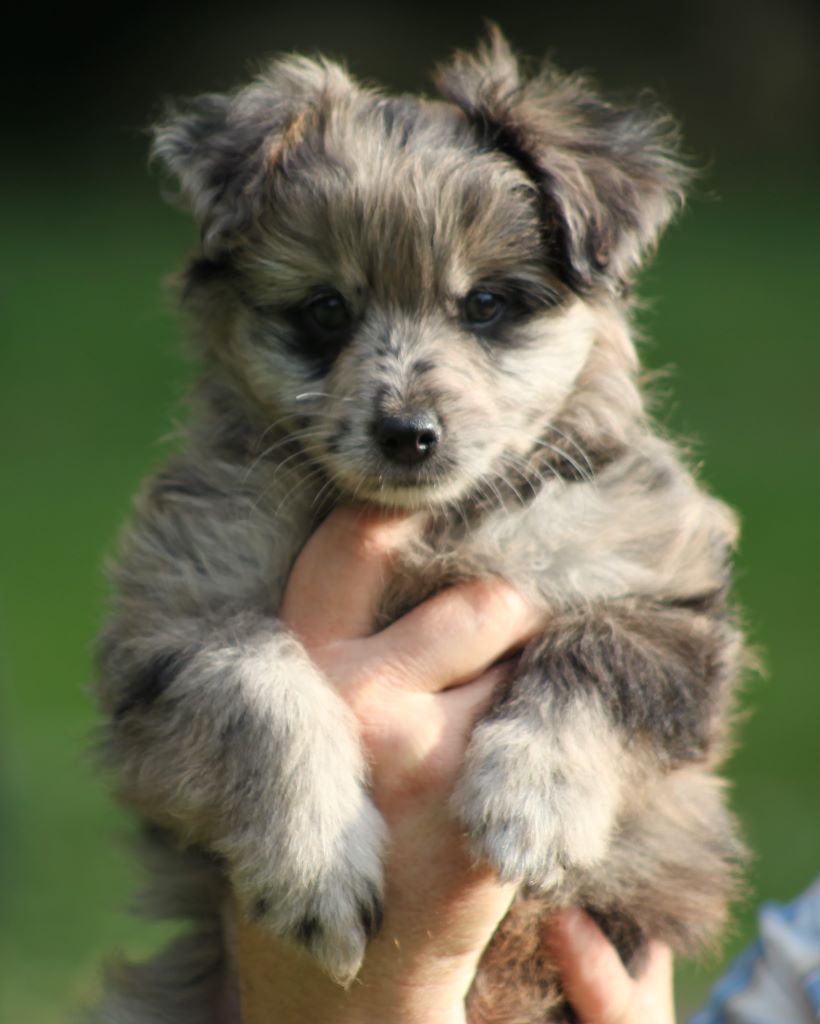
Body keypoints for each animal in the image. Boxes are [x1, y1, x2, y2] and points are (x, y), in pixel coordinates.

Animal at [90, 28, 746, 1022]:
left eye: (487, 305)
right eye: (326, 310)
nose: (408, 434)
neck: (431, 522)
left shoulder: (659, 590)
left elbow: (598, 658)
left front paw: (532, 803)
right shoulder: (172, 618)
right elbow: (259, 684)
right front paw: (316, 867)